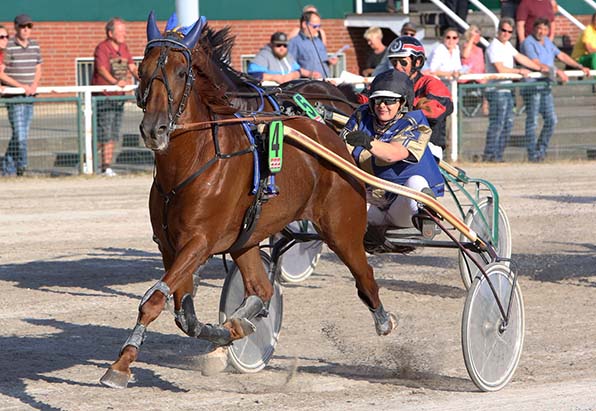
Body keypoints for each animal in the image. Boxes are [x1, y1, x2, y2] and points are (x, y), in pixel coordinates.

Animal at [99, 11, 396, 388]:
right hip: (248, 240)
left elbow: (153, 300)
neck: (193, 160)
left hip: (342, 228)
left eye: (181, 72)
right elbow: (183, 311)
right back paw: (241, 322)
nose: (155, 129)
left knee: (365, 275)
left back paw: (384, 320)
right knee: (262, 289)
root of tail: (330, 133)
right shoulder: (169, 245)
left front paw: (120, 366)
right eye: (142, 69)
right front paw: (224, 333)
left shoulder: (199, 241)